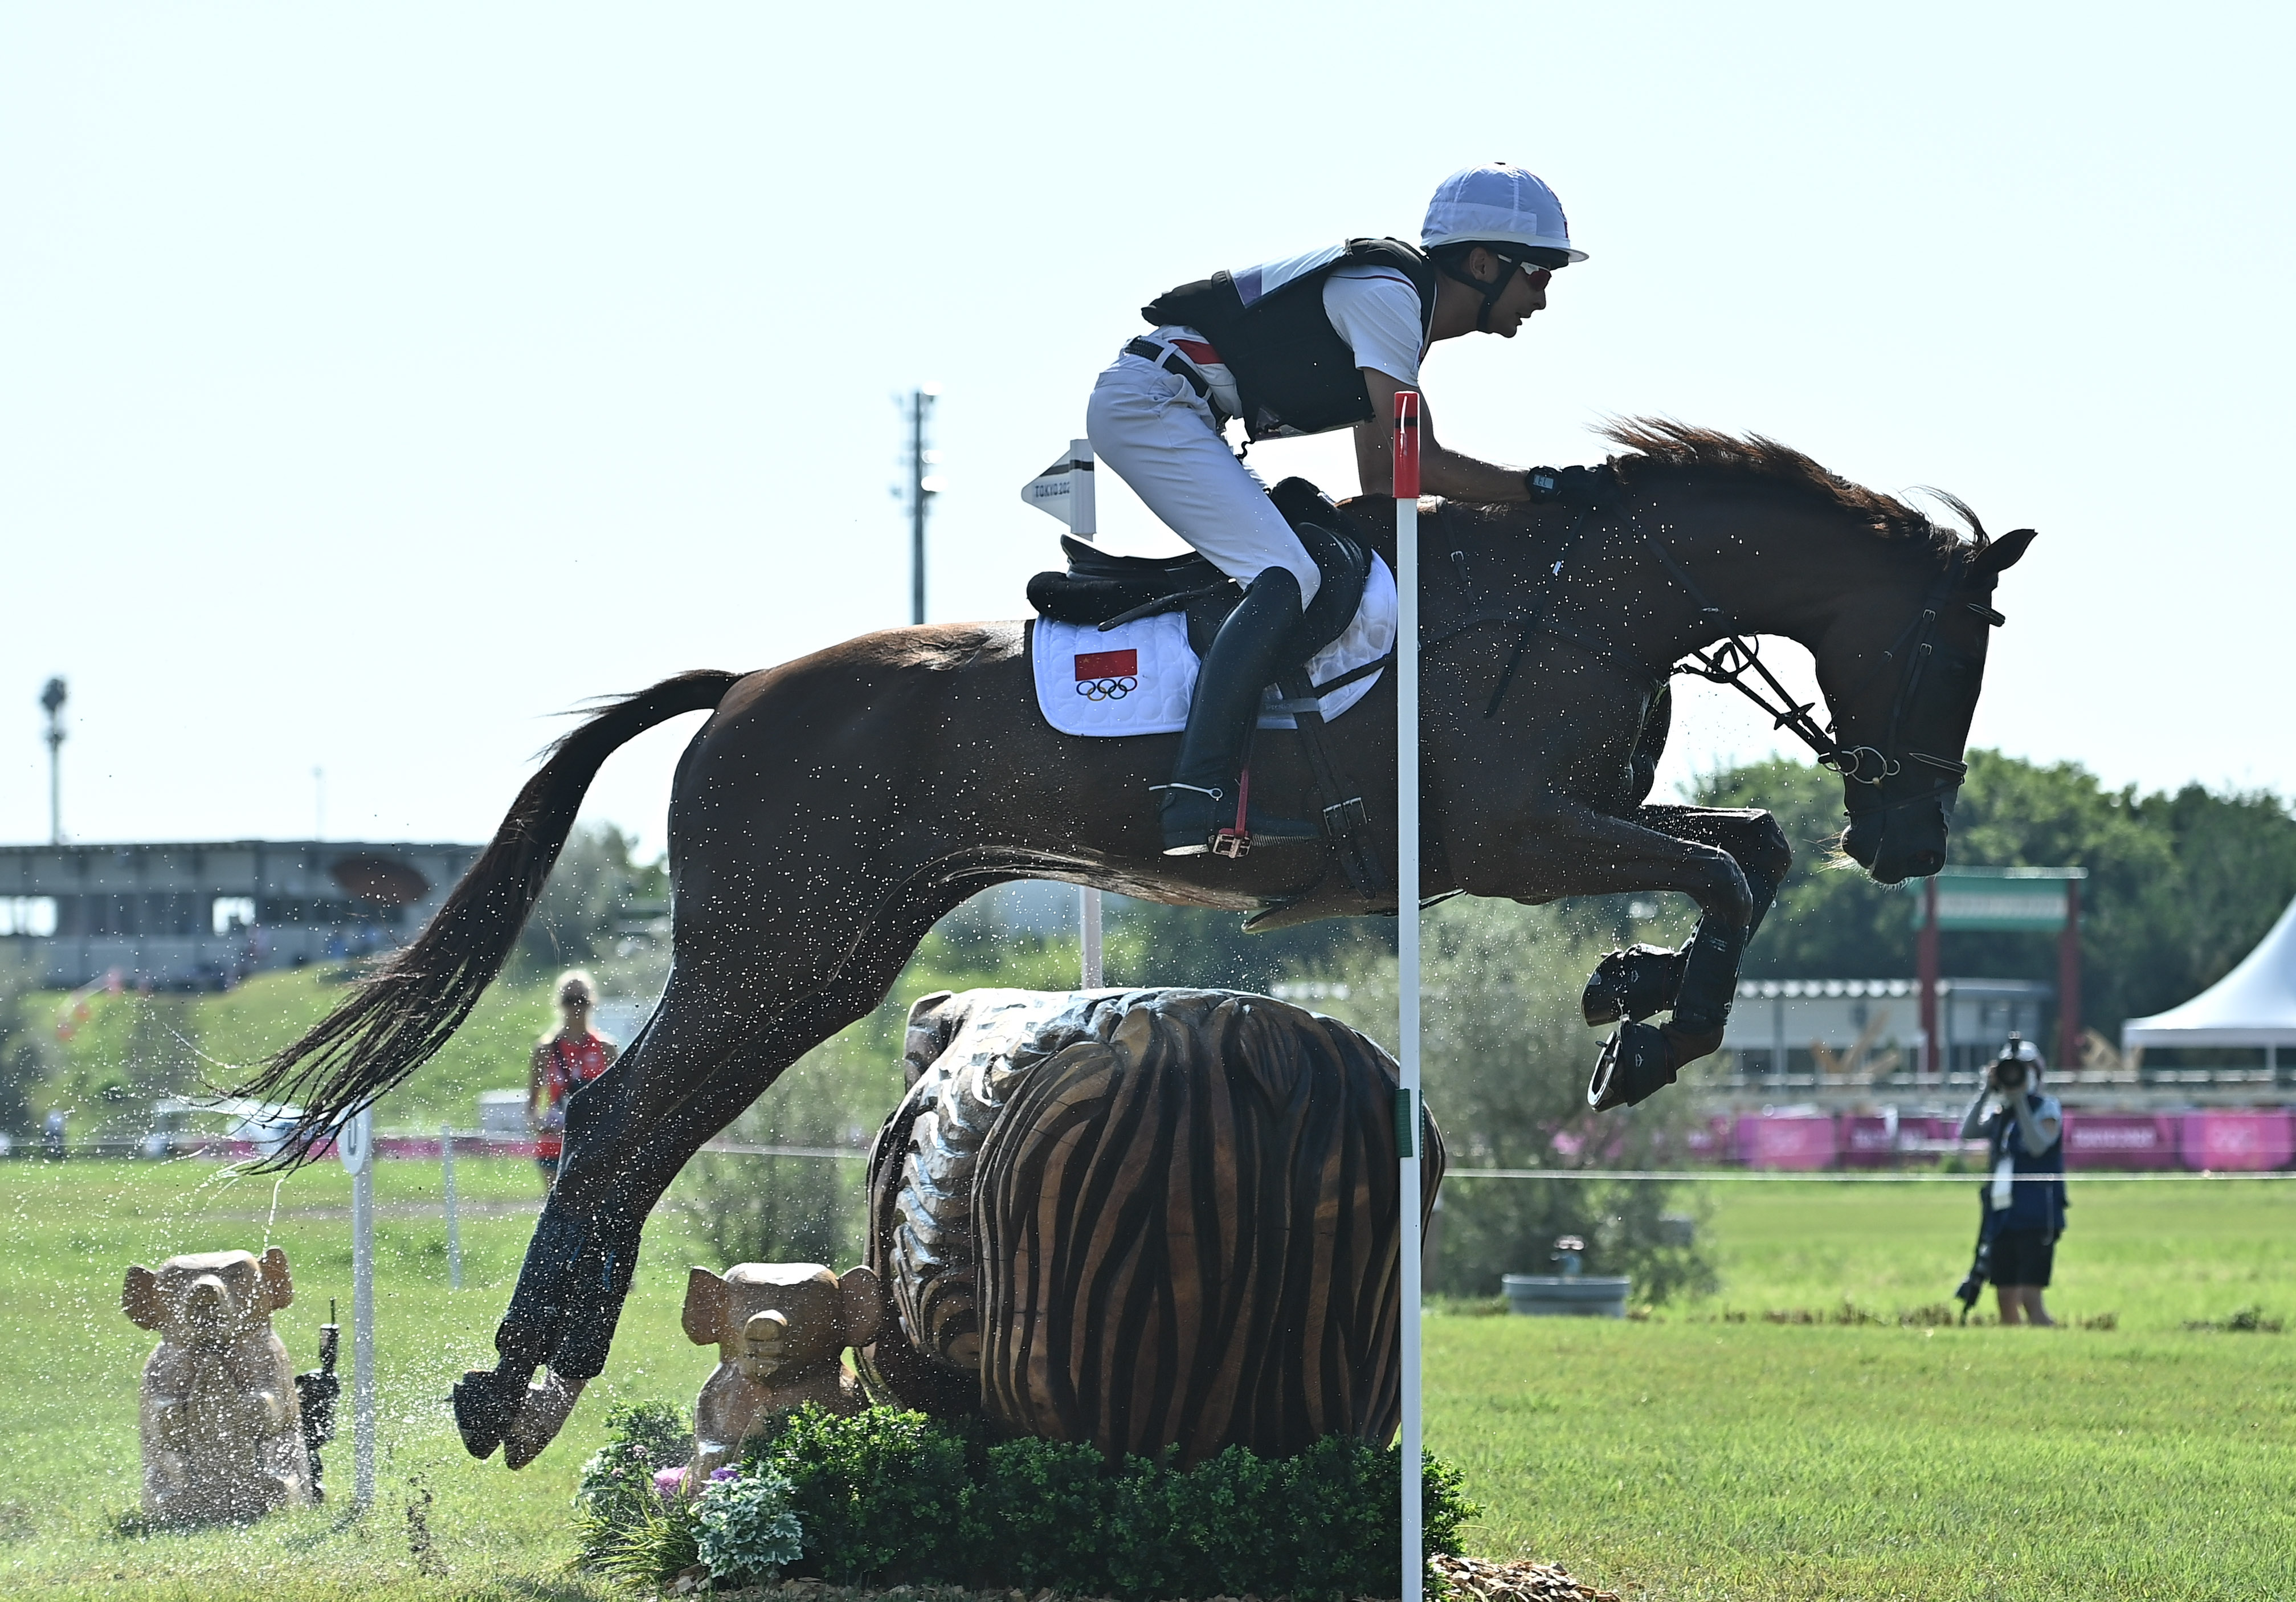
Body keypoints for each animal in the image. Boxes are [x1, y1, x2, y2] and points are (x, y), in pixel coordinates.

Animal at [228, 415, 2029, 1460]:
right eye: (1953, 645)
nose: (1913, 842)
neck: (1578, 596)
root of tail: (736, 689)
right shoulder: (1514, 834)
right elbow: (1727, 870)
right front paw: (1643, 1022)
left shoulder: (1566, 823)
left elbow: (1746, 854)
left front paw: (1641, 1003)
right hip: (783, 950)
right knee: (614, 1119)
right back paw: (516, 1382)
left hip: (826, 952)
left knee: (642, 1127)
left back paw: (531, 1378)